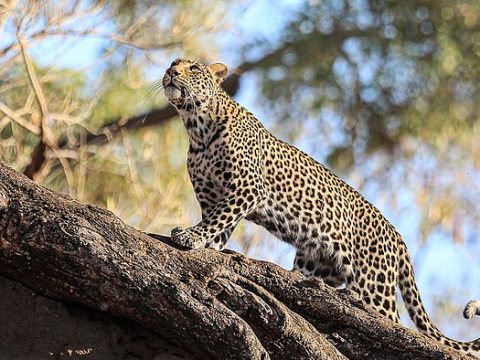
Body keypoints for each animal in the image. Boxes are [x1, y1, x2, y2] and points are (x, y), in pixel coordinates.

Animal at [163, 57, 480, 356]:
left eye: (193, 68)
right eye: (173, 63)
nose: (171, 73)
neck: (198, 127)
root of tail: (398, 238)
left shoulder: (247, 189)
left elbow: (216, 219)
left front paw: (189, 236)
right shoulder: (212, 197)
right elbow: (218, 224)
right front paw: (208, 245)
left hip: (374, 287)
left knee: (393, 323)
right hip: (317, 263)